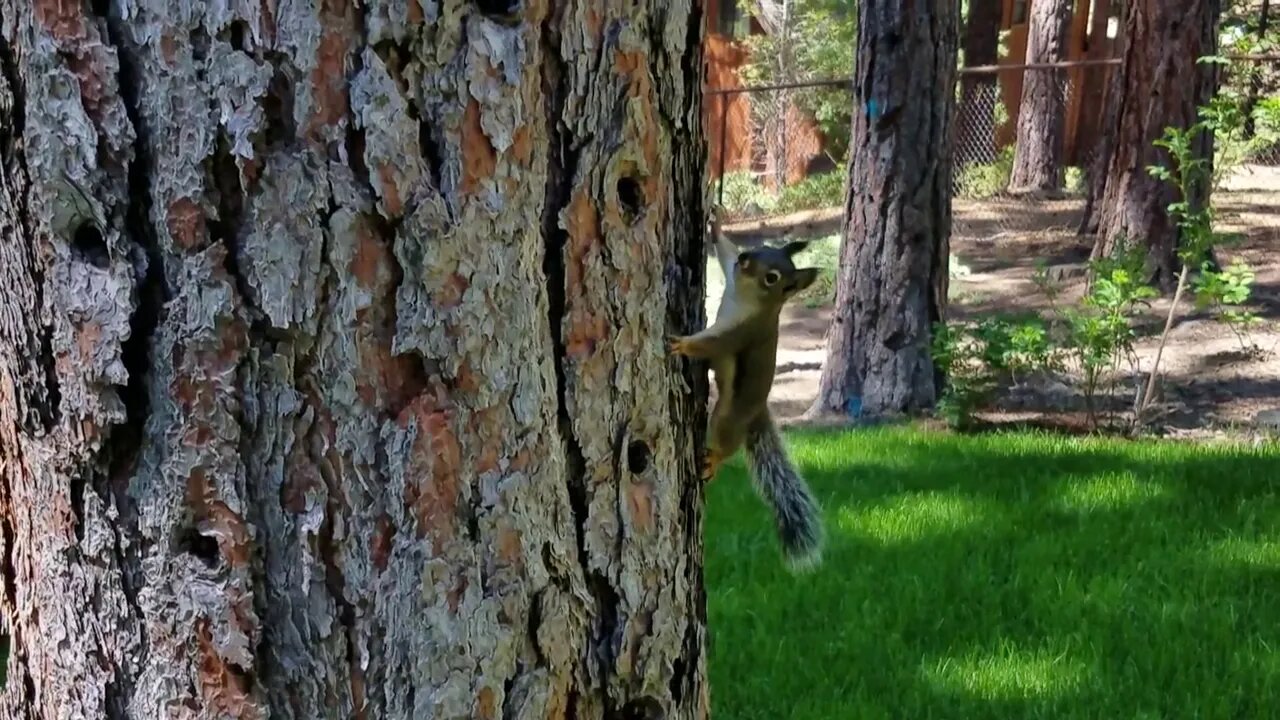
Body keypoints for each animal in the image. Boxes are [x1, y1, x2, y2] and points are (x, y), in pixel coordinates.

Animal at [665, 210, 824, 568]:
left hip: (726, 417)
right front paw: (716, 226)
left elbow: (712, 344)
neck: (742, 296)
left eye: (773, 278)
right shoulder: (730, 277)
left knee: (727, 444)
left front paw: (683, 344)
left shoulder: (741, 333)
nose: (745, 259)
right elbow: (724, 255)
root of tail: (757, 411)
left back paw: (713, 460)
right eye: (763, 248)